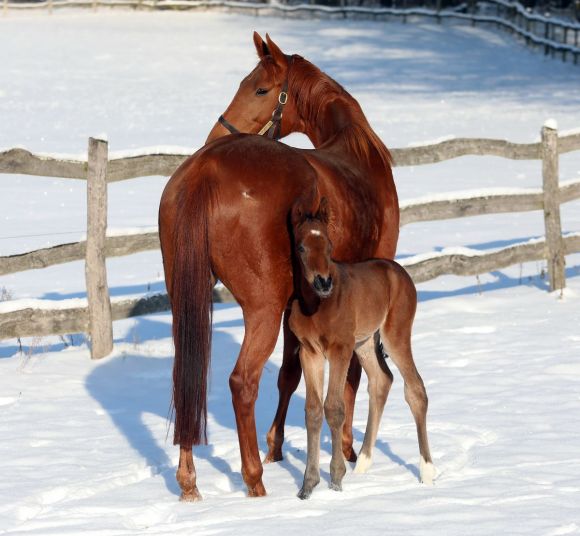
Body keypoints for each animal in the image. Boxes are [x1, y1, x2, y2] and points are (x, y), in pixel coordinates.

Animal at [290, 199, 436, 500]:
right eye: (301, 247)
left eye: (329, 245)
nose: (323, 282)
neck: (316, 305)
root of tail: (400, 272)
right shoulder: (309, 352)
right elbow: (313, 411)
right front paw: (307, 485)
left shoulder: (339, 349)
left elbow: (334, 407)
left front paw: (336, 479)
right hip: (366, 343)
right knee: (382, 380)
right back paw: (364, 464)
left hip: (394, 336)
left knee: (415, 389)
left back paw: (427, 472)